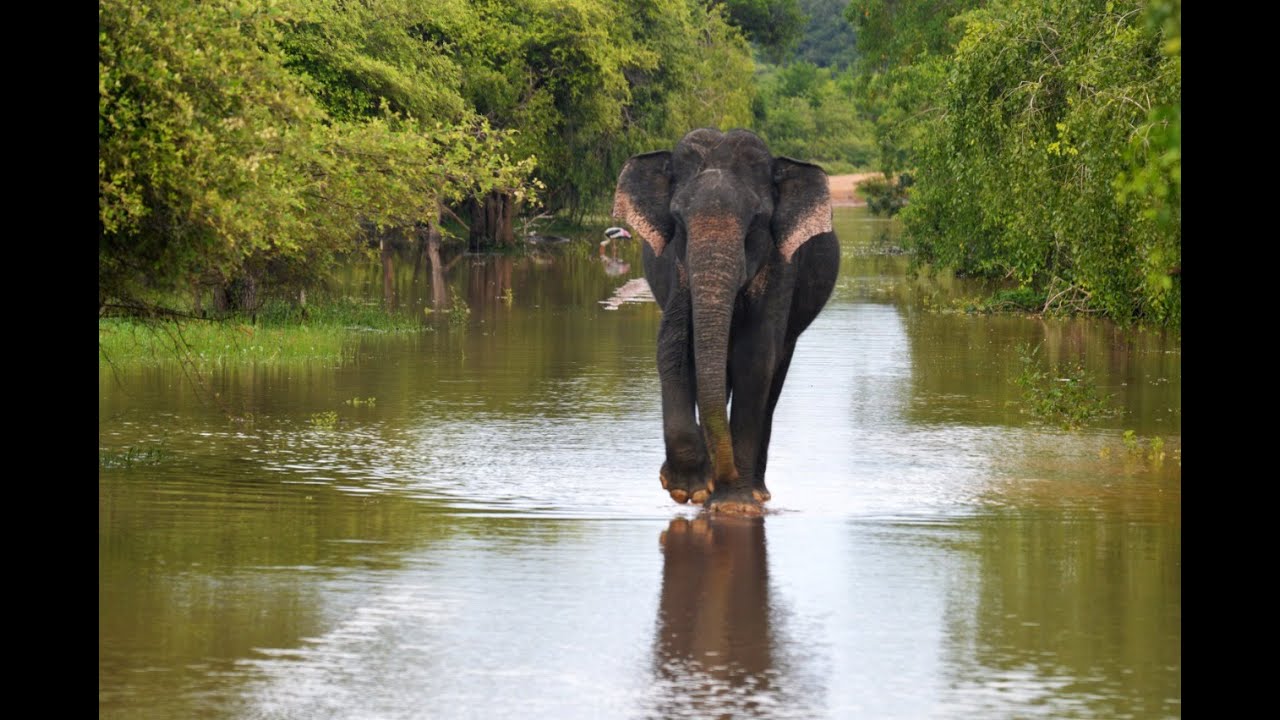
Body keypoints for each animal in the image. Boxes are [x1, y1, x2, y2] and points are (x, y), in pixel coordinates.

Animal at [612, 128, 839, 514]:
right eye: (677, 220)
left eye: (757, 221)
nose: (723, 472)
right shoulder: (676, 267)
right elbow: (674, 346)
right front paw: (690, 488)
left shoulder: (782, 266)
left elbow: (755, 358)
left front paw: (734, 504)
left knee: (772, 381)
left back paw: (757, 493)